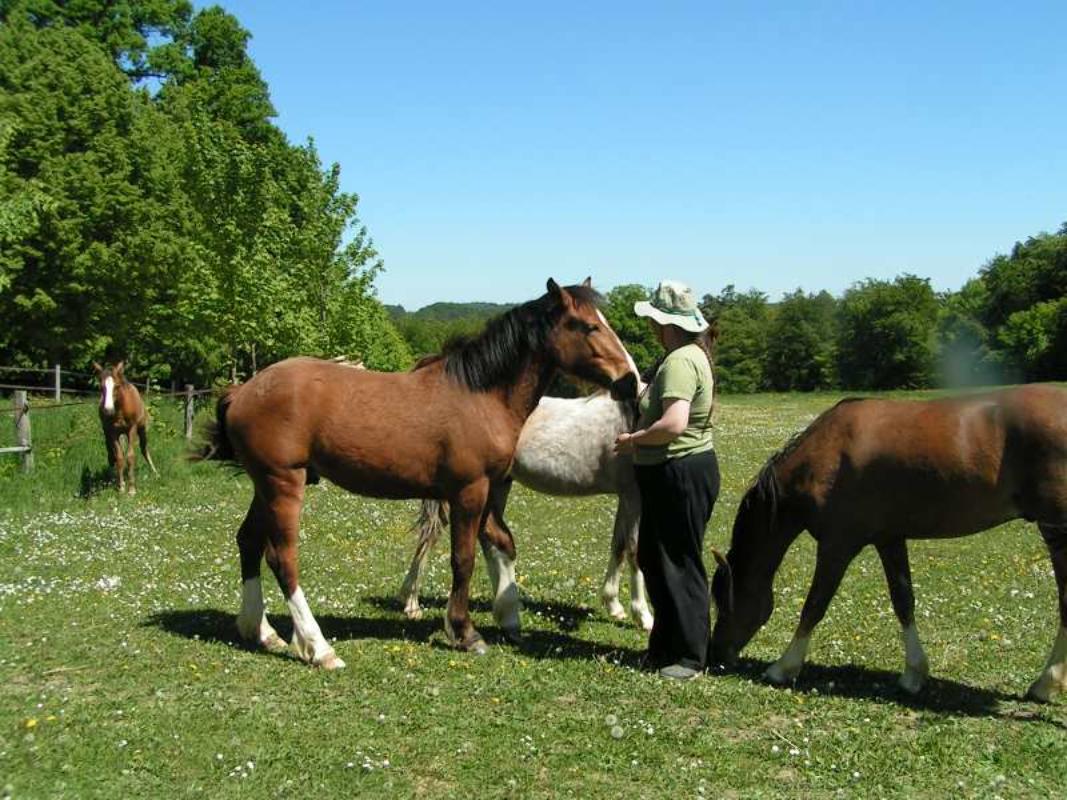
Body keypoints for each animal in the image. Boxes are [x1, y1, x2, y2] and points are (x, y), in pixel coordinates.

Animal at [93, 361, 158, 494]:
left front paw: (132, 489)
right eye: (101, 387)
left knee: (144, 449)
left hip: (141, 430)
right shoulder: (112, 432)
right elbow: (119, 457)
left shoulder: (132, 429)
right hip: (109, 433)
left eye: (117, 386)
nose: (108, 410)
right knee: (112, 452)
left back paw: (155, 473)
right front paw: (122, 487)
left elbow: (130, 456)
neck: (120, 411)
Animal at [398, 390, 655, 633]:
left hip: (498, 486)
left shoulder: (625, 496)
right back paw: (412, 603)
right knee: (432, 535)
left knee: (489, 538)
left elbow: (619, 546)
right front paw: (644, 616)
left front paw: (614, 605)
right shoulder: (634, 496)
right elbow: (634, 551)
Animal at [708, 384, 1067, 702]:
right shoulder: (889, 539)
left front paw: (783, 668)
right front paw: (913, 674)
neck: (825, 453)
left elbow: (814, 606)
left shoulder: (837, 546)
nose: (716, 655)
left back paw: (1046, 684)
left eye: (725, 602)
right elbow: (903, 601)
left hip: (1057, 532)